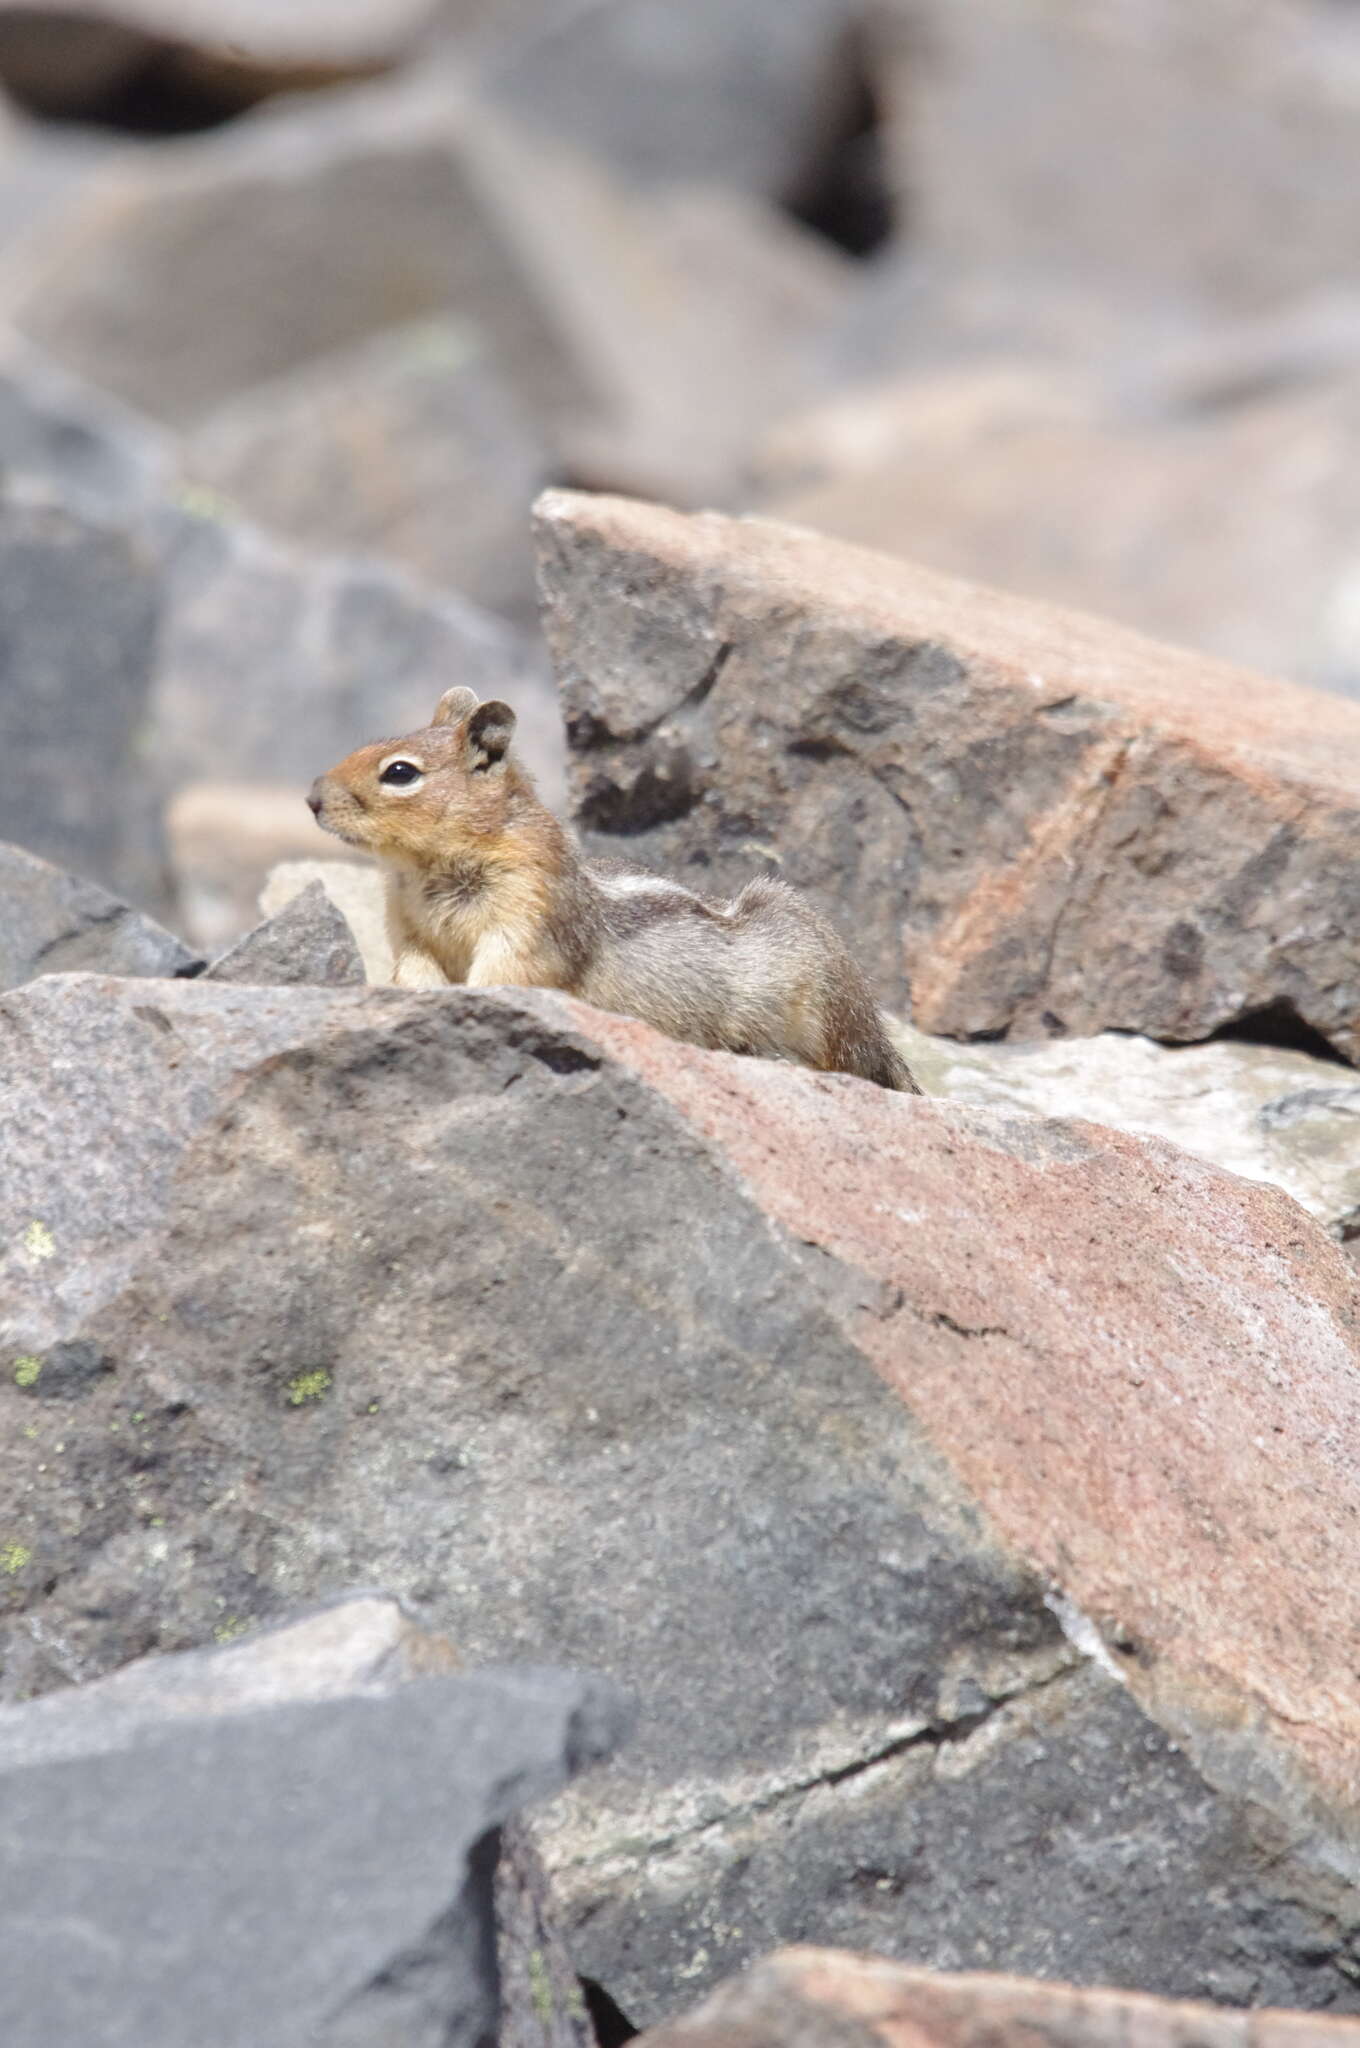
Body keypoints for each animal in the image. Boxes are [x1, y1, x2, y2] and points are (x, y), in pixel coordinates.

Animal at [313, 692, 917, 1089]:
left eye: (399, 772)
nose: (313, 798)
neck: (427, 868)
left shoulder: (528, 916)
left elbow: (506, 973)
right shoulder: (411, 935)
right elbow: (415, 976)